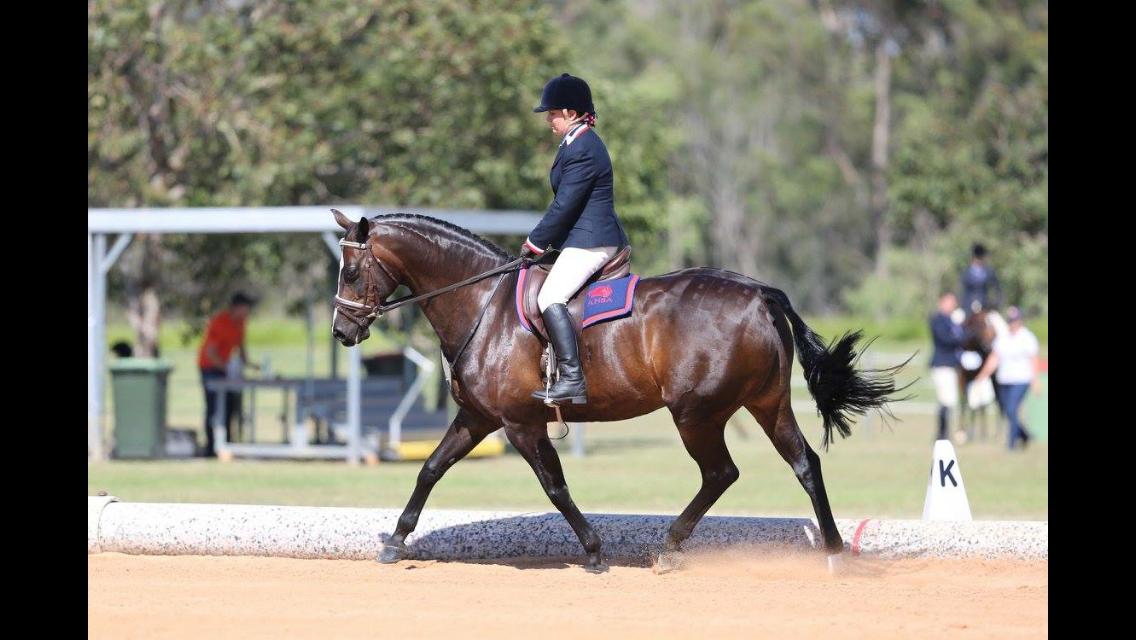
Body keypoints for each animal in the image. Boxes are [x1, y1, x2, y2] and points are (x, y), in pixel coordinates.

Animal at [330, 210, 906, 573]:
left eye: (352, 270)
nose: (341, 332)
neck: (481, 302)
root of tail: (759, 292)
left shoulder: (520, 423)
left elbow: (555, 487)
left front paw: (592, 550)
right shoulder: (478, 418)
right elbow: (430, 469)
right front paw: (396, 540)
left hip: (696, 414)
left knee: (721, 473)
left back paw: (670, 548)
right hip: (765, 404)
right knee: (804, 462)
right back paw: (833, 553)